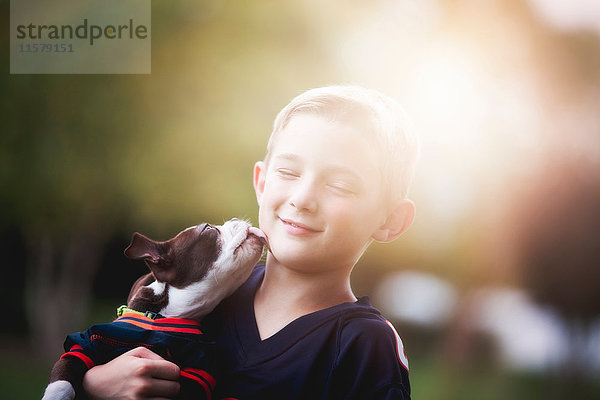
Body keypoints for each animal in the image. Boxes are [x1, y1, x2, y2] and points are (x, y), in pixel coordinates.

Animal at [42, 219, 268, 400]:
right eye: (208, 229)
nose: (235, 219)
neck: (158, 318)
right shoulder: (84, 345)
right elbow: (62, 377)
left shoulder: (196, 375)